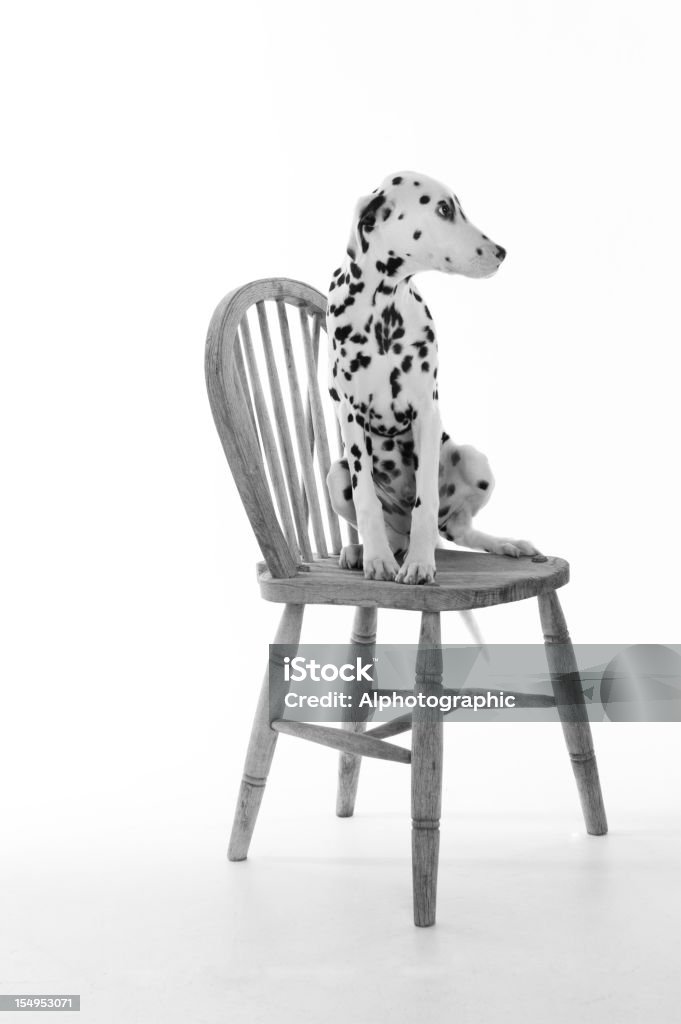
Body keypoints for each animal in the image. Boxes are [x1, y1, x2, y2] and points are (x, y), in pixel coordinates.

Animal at [327, 172, 540, 581]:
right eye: (443, 209)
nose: (501, 252)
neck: (384, 312)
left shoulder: (426, 412)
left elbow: (425, 503)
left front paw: (420, 564)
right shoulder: (351, 414)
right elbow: (366, 501)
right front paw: (376, 558)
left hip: (473, 458)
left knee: (457, 527)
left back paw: (505, 543)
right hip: (336, 474)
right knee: (394, 531)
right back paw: (363, 551)